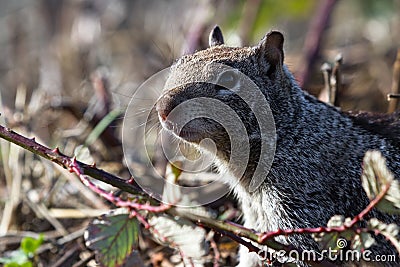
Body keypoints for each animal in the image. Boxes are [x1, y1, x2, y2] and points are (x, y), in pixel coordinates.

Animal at [155, 26, 398, 266]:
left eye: (229, 79)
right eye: (178, 64)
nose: (163, 107)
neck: (290, 132)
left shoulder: (301, 213)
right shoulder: (256, 218)